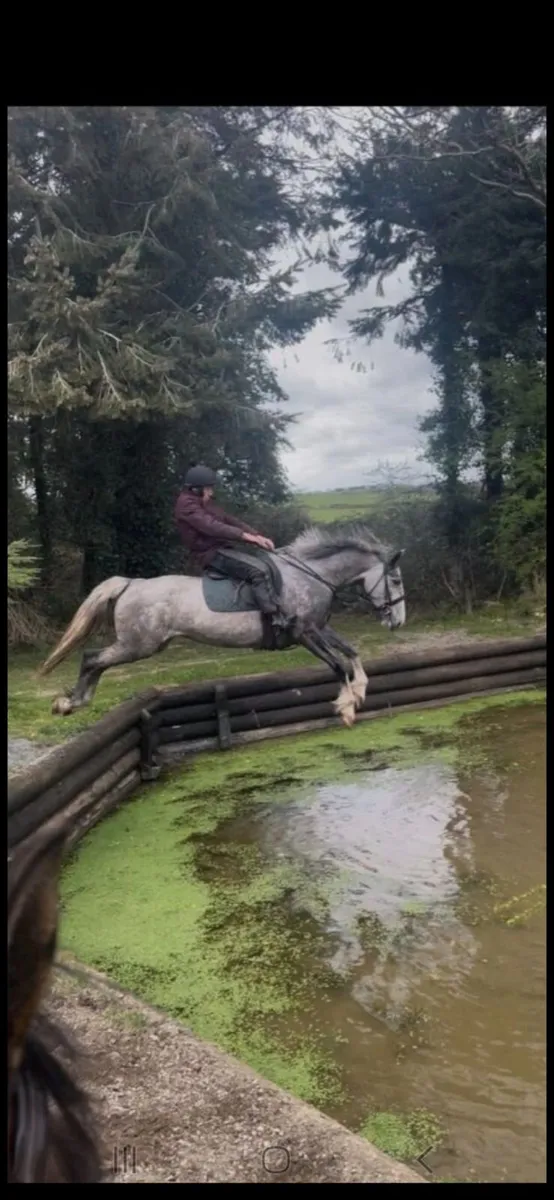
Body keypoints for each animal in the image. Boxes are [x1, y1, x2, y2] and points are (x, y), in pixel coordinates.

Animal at [38, 522, 406, 726]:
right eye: (397, 581)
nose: (398, 621)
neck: (310, 575)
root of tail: (131, 583)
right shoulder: (304, 633)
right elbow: (338, 664)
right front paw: (346, 707)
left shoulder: (319, 628)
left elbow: (351, 653)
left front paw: (360, 691)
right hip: (138, 645)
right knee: (92, 658)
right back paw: (71, 702)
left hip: (142, 645)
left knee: (96, 661)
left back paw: (76, 702)